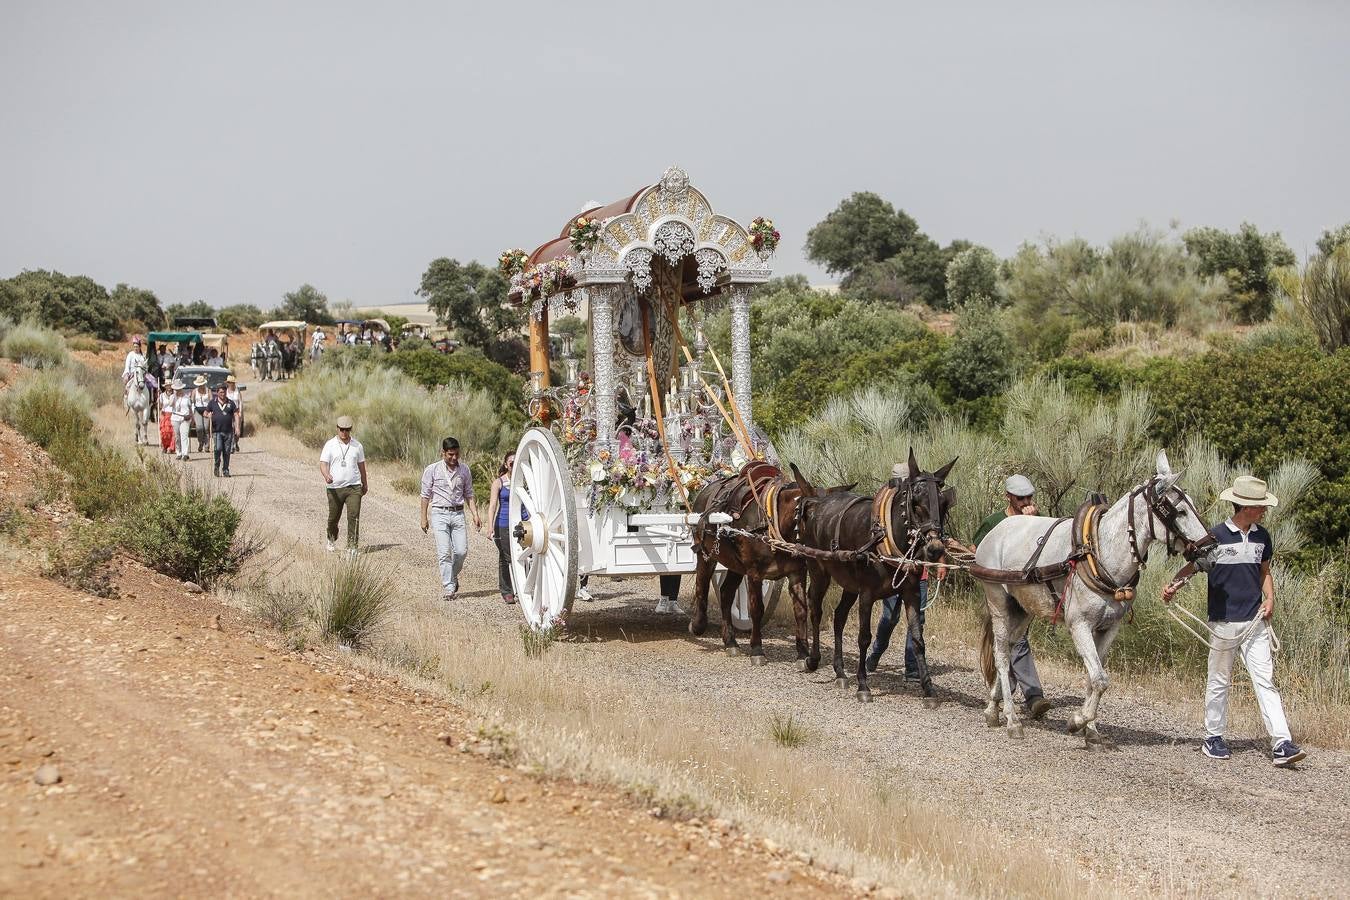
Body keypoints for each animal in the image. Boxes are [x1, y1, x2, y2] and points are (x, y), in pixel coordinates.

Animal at [977, 450, 1220, 744]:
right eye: (1180, 511)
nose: (1212, 552)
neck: (1099, 552)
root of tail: (995, 531)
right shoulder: (1079, 625)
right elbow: (1101, 679)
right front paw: (1077, 721)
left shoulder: (1108, 628)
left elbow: (1094, 678)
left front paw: (1091, 730)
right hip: (998, 602)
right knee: (1001, 655)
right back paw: (1012, 720)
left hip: (1023, 608)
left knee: (1012, 648)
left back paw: (992, 707)